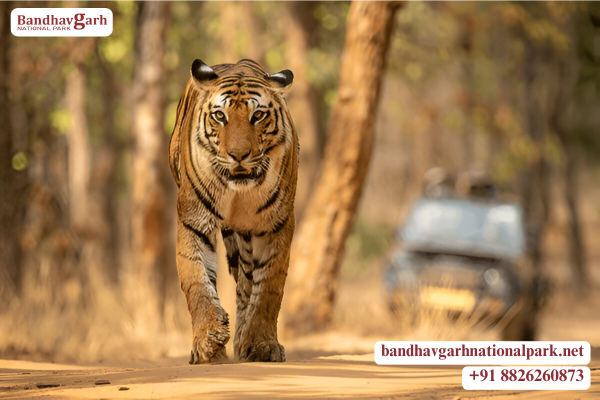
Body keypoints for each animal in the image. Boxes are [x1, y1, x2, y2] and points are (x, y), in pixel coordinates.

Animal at [168, 58, 298, 362]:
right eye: (220, 116)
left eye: (258, 115)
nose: (238, 155)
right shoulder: (193, 221)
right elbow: (197, 281)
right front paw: (208, 341)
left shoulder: (277, 225)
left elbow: (269, 289)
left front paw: (263, 345)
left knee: (246, 286)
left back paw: (244, 343)